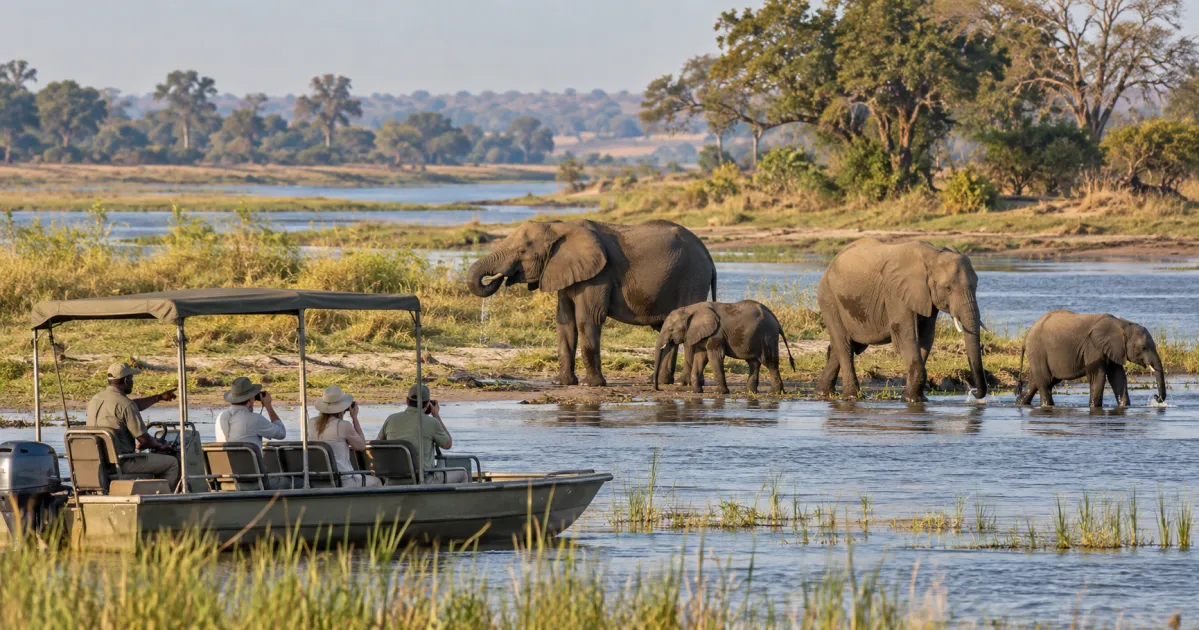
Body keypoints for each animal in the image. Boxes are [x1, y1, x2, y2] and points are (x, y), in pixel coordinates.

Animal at [466, 219, 716, 387]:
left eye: (521, 251)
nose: (498, 278)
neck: (558, 227)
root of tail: (708, 255)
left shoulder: (598, 274)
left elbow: (587, 319)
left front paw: (592, 384)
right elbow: (565, 322)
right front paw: (561, 383)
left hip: (692, 278)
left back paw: (683, 383)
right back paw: (659, 382)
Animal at [652, 300, 796, 394]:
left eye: (671, 329)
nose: (658, 388)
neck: (690, 310)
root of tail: (776, 319)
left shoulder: (716, 334)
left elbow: (714, 357)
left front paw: (720, 392)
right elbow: (700, 358)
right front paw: (696, 391)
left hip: (767, 336)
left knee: (770, 363)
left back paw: (774, 392)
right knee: (754, 363)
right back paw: (749, 391)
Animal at [815, 238, 987, 402]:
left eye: (976, 286)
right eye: (948, 288)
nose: (973, 392)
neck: (933, 256)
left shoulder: (926, 297)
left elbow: (926, 337)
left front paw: (914, 398)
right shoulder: (896, 292)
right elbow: (905, 335)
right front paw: (912, 400)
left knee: (842, 347)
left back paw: (825, 393)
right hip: (829, 299)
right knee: (844, 345)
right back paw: (853, 397)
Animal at [1015, 310, 1166, 408]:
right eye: (1143, 348)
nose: (1156, 398)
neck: (1121, 324)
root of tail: (1026, 338)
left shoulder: (1114, 349)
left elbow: (1118, 377)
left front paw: (1124, 406)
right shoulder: (1094, 347)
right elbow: (1097, 376)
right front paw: (1094, 407)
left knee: (1040, 380)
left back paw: (1019, 403)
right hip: (1037, 351)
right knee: (1045, 382)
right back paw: (1047, 406)